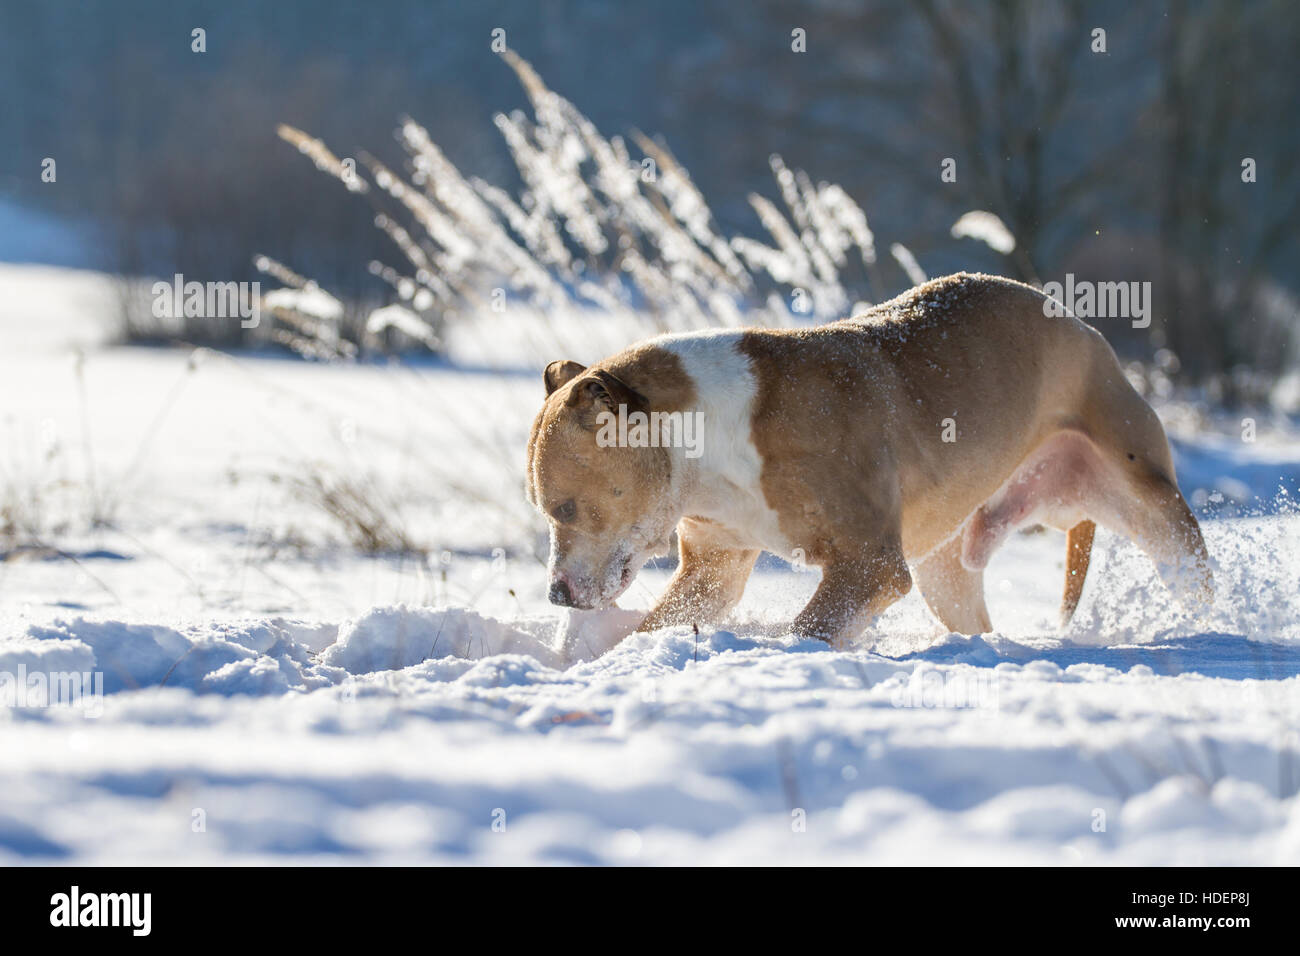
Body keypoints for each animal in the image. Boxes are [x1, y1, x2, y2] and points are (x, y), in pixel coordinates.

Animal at [525, 273, 1206, 647]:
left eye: (565, 507)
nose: (555, 595)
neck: (709, 434)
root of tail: (1082, 325)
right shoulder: (713, 566)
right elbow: (660, 623)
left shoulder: (869, 564)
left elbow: (810, 627)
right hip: (944, 569)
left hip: (1147, 496)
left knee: (1186, 563)